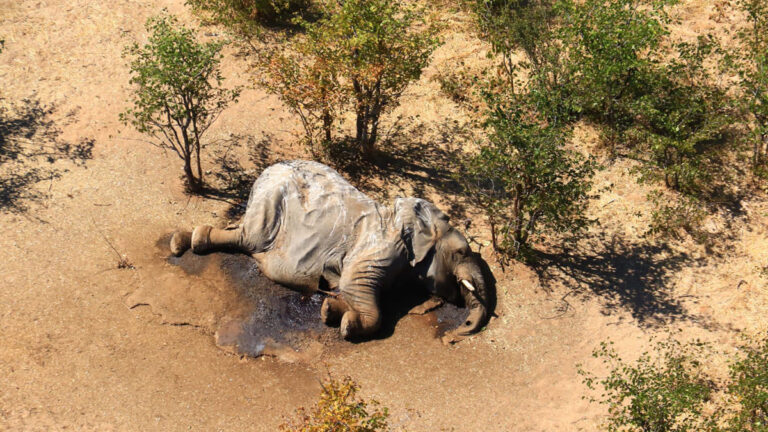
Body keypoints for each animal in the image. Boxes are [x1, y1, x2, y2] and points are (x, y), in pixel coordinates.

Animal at [170, 160, 492, 342]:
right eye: (461, 252)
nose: (455, 335)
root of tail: (267, 169)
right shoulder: (381, 247)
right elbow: (356, 286)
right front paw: (348, 325)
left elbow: (351, 290)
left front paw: (329, 310)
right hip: (271, 201)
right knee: (249, 238)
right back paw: (186, 242)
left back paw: (183, 241)